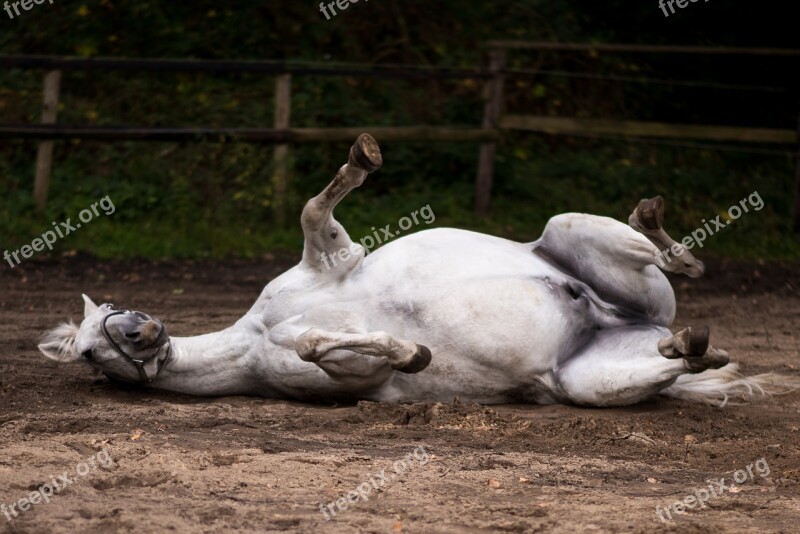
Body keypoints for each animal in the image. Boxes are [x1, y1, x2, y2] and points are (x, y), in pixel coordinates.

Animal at [40, 136, 796, 408]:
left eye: (106, 310)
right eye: (89, 351)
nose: (140, 330)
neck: (254, 339)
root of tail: (627, 320)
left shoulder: (331, 258)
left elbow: (315, 208)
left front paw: (364, 158)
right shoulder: (338, 374)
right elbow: (332, 348)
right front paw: (410, 352)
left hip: (572, 230)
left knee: (674, 260)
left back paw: (664, 235)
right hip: (590, 382)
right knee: (679, 357)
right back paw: (691, 347)